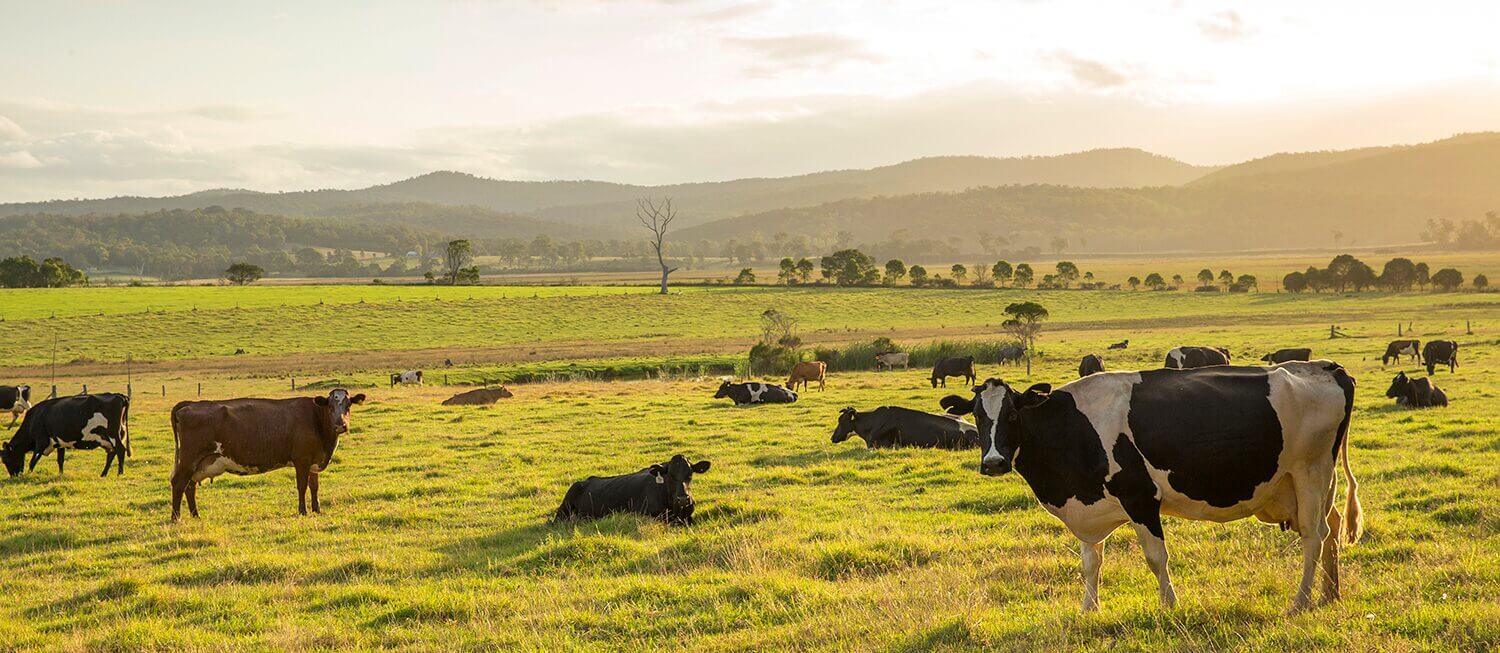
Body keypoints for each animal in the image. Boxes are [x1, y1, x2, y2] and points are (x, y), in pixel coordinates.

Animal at [2, 393, 131, 478]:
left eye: (6, 460)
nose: (13, 476)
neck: (35, 418)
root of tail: (119, 396)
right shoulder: (59, 443)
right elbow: (60, 460)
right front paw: (60, 474)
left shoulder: (41, 442)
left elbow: (33, 460)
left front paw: (29, 474)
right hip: (110, 438)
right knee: (112, 453)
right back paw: (103, 474)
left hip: (113, 435)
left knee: (120, 450)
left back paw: (120, 473)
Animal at [168, 388, 365, 520]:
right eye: (330, 406)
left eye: (348, 405)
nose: (341, 425)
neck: (316, 419)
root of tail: (190, 404)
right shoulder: (301, 460)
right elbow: (302, 486)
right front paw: (302, 511)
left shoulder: (313, 462)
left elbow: (314, 486)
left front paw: (317, 510)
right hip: (188, 460)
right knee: (179, 484)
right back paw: (176, 518)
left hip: (198, 464)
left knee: (190, 486)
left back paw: (195, 515)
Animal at [968, 362, 1362, 614]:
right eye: (977, 415)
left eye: (1013, 415)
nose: (993, 463)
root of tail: (1326, 367)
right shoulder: (1088, 509)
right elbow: (1091, 562)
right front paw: (1088, 609)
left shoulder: (1140, 497)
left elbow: (1156, 558)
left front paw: (1169, 605)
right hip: (1312, 481)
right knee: (1333, 526)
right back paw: (1330, 594)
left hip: (1310, 471)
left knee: (1314, 535)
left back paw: (1301, 602)